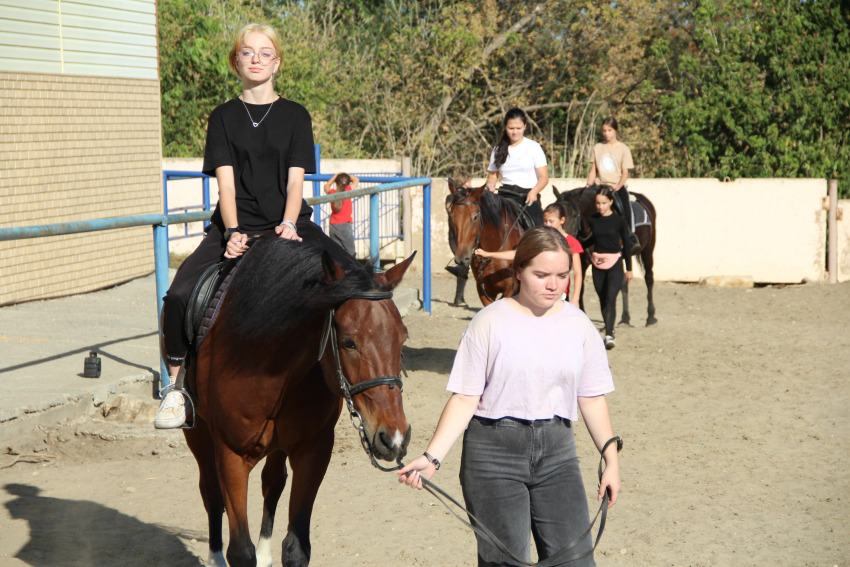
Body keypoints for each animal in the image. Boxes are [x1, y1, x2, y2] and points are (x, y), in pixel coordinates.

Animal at [177, 235, 416, 567]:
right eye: (348, 342)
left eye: (402, 338)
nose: (393, 438)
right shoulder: (230, 455)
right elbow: (240, 550)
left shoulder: (312, 451)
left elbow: (295, 548)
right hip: (198, 433)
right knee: (211, 491)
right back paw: (214, 557)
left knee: (272, 483)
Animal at [552, 185, 660, 326]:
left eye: (575, 215)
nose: (564, 240)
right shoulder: (582, 262)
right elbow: (581, 288)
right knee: (624, 282)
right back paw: (625, 318)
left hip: (648, 250)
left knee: (648, 278)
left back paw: (650, 316)